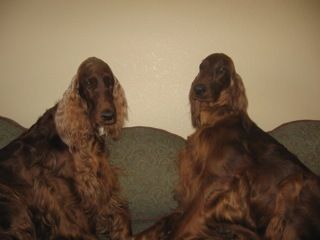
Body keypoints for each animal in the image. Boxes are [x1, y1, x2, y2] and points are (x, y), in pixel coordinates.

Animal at [0, 57, 131, 239]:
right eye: (89, 84)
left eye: (109, 82)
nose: (109, 115)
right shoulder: (61, 189)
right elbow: (80, 228)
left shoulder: (100, 184)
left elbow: (121, 215)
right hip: (13, 205)